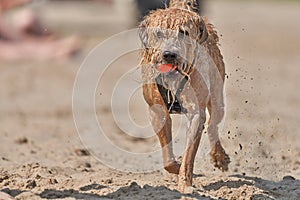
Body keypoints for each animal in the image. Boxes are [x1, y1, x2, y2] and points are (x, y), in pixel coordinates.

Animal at [138, 0, 230, 192]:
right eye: (158, 33)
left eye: (184, 33)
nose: (169, 54)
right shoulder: (157, 111)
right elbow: (168, 157)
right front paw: (175, 169)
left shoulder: (196, 112)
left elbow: (189, 155)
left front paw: (185, 182)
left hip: (217, 98)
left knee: (213, 125)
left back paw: (219, 157)